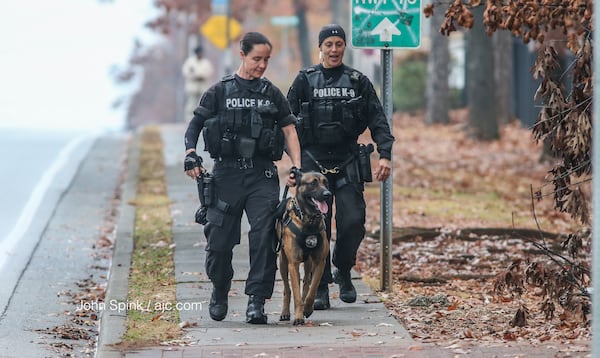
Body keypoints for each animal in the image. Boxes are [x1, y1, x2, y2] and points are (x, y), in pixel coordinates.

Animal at [278, 171, 332, 324]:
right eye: (313, 183)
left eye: (326, 182)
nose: (328, 194)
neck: (309, 220)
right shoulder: (294, 264)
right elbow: (295, 293)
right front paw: (298, 316)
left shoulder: (319, 262)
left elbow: (312, 289)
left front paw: (307, 308)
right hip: (283, 263)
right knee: (287, 289)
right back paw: (285, 312)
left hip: (308, 264)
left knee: (307, 282)